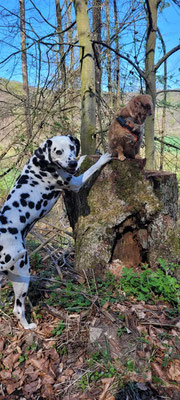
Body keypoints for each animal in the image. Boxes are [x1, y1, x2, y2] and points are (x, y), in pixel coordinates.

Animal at [0, 136, 111, 330]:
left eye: (72, 148)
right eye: (58, 151)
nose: (72, 162)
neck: (41, 163)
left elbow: (81, 163)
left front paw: (84, 157)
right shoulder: (75, 183)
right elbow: (91, 169)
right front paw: (103, 158)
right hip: (23, 273)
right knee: (18, 309)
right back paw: (28, 326)